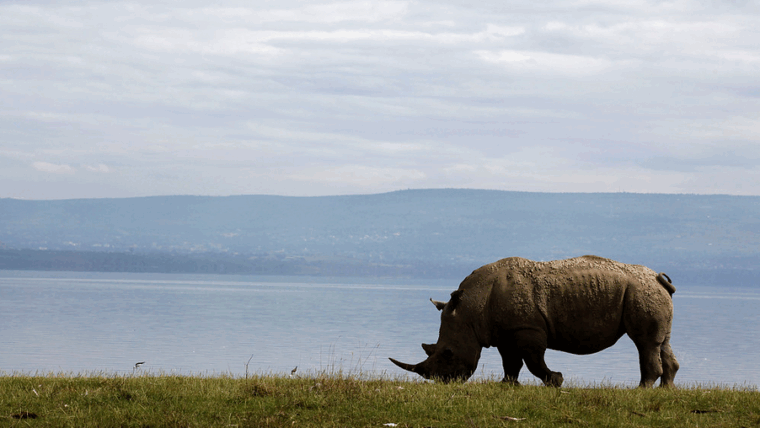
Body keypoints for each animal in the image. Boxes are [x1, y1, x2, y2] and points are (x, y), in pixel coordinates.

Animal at [390, 255, 679, 388]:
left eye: (448, 353)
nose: (443, 381)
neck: (472, 308)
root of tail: (657, 278)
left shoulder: (528, 329)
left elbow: (532, 360)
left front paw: (556, 381)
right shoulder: (504, 333)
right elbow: (511, 362)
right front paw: (507, 385)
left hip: (641, 292)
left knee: (644, 343)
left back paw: (640, 390)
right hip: (648, 293)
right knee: (662, 342)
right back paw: (665, 390)